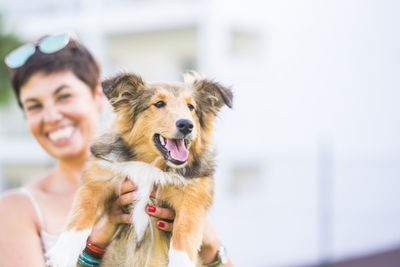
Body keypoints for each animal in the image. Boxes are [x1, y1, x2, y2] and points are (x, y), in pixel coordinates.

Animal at [46, 72, 233, 266]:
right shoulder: (97, 180)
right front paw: (63, 253)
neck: (150, 166)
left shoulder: (193, 199)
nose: (187, 125)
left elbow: (184, 236)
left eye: (191, 107)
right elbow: (82, 212)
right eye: (159, 103)